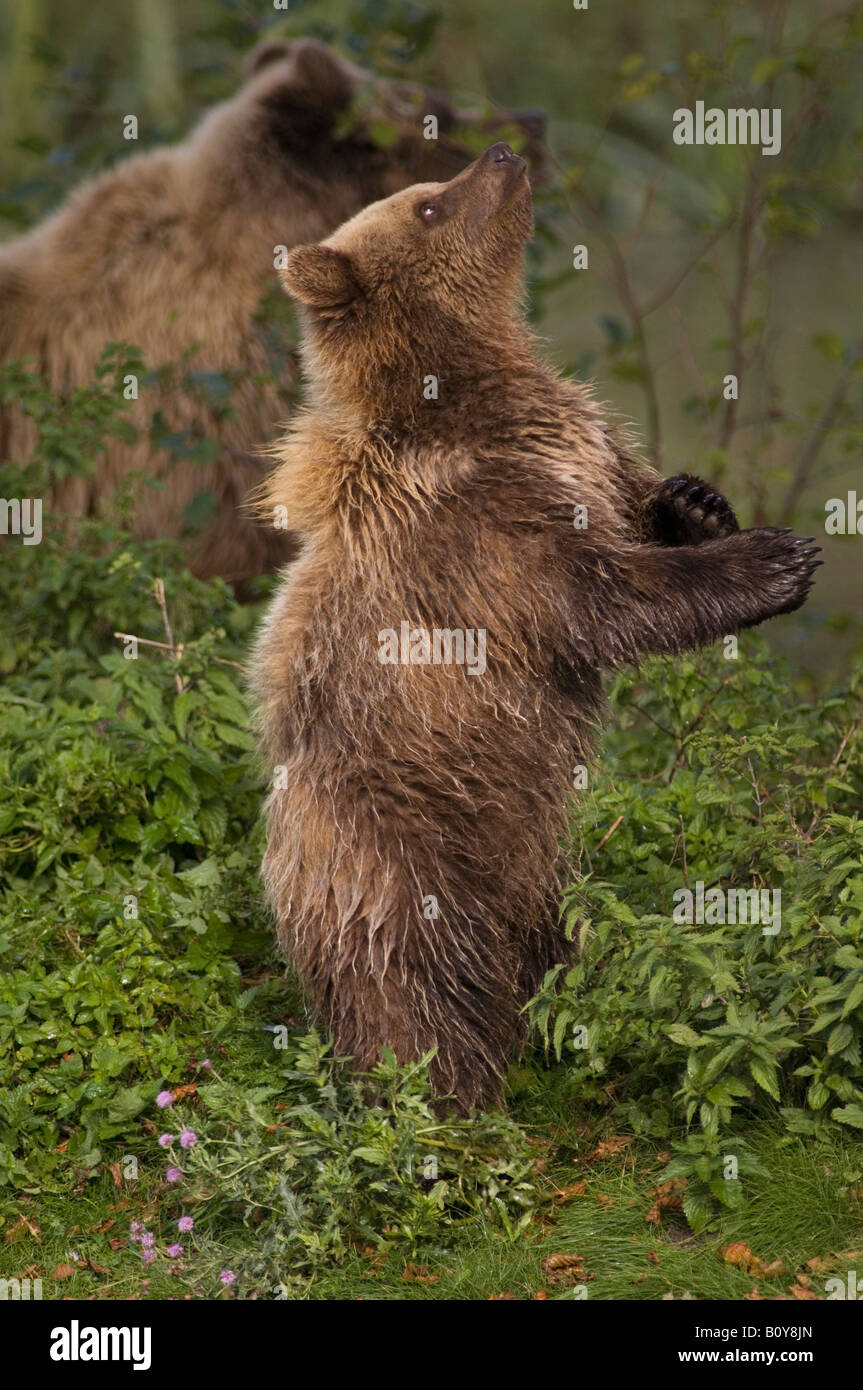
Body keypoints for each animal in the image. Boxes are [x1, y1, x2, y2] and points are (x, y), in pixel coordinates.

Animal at [251, 143, 820, 1113]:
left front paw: (697, 503)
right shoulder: (480, 528)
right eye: (428, 205)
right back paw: (450, 1104)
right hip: (395, 854)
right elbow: (594, 602)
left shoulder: (581, 455)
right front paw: (775, 560)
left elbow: (631, 510)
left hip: (535, 861)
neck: (470, 390)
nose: (501, 153)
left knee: (551, 939)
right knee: (411, 990)